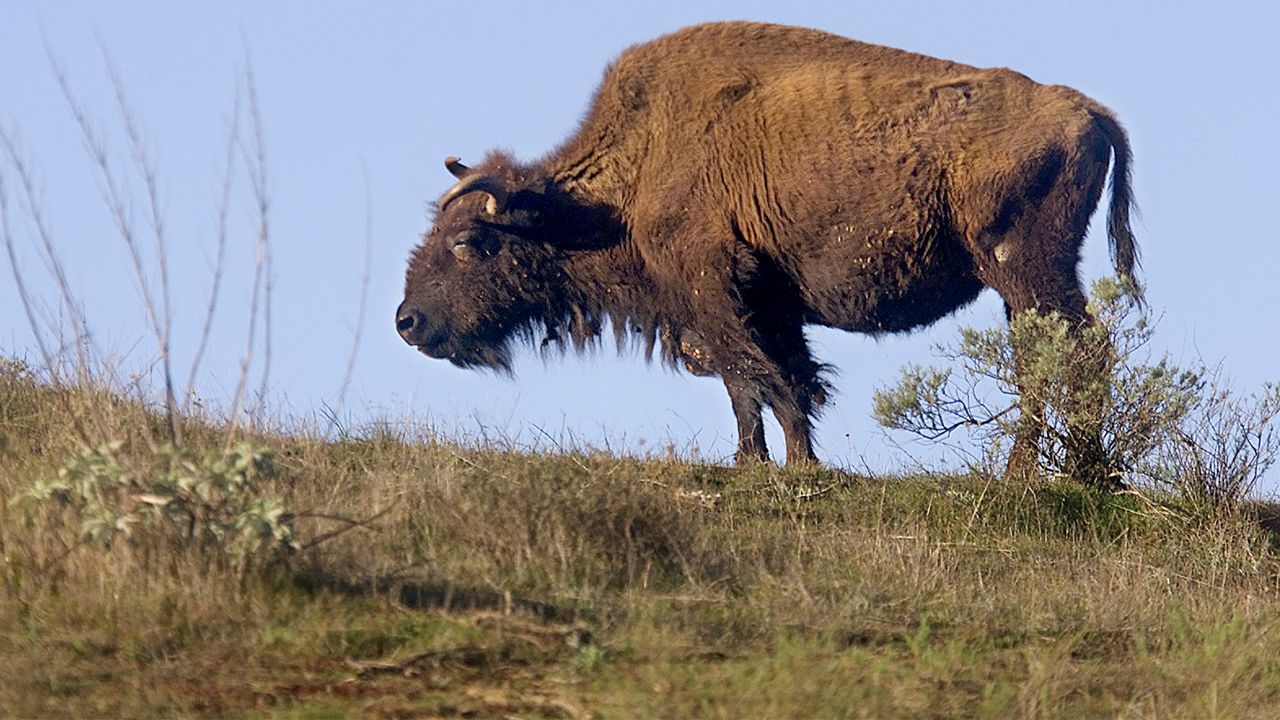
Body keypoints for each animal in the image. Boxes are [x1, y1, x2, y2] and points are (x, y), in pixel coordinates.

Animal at [399, 20, 1141, 481]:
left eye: (471, 242)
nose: (408, 321)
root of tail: (1084, 110)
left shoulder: (713, 291)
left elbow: (751, 378)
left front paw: (767, 465)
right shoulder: (767, 302)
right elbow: (784, 378)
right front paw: (791, 459)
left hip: (1026, 270)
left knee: (1071, 353)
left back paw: (1045, 473)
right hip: (1025, 283)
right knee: (1054, 356)